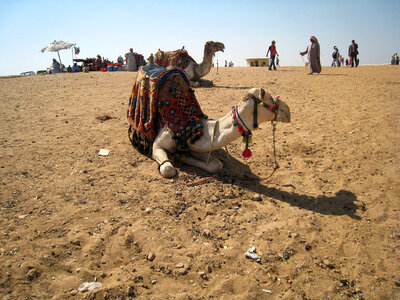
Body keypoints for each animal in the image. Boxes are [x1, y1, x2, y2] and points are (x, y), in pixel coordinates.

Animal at [152, 86, 292, 177]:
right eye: (271, 99)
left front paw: (183, 156)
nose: (288, 111)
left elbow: (216, 163)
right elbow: (168, 168)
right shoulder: (157, 144)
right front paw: (177, 157)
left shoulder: (194, 145)